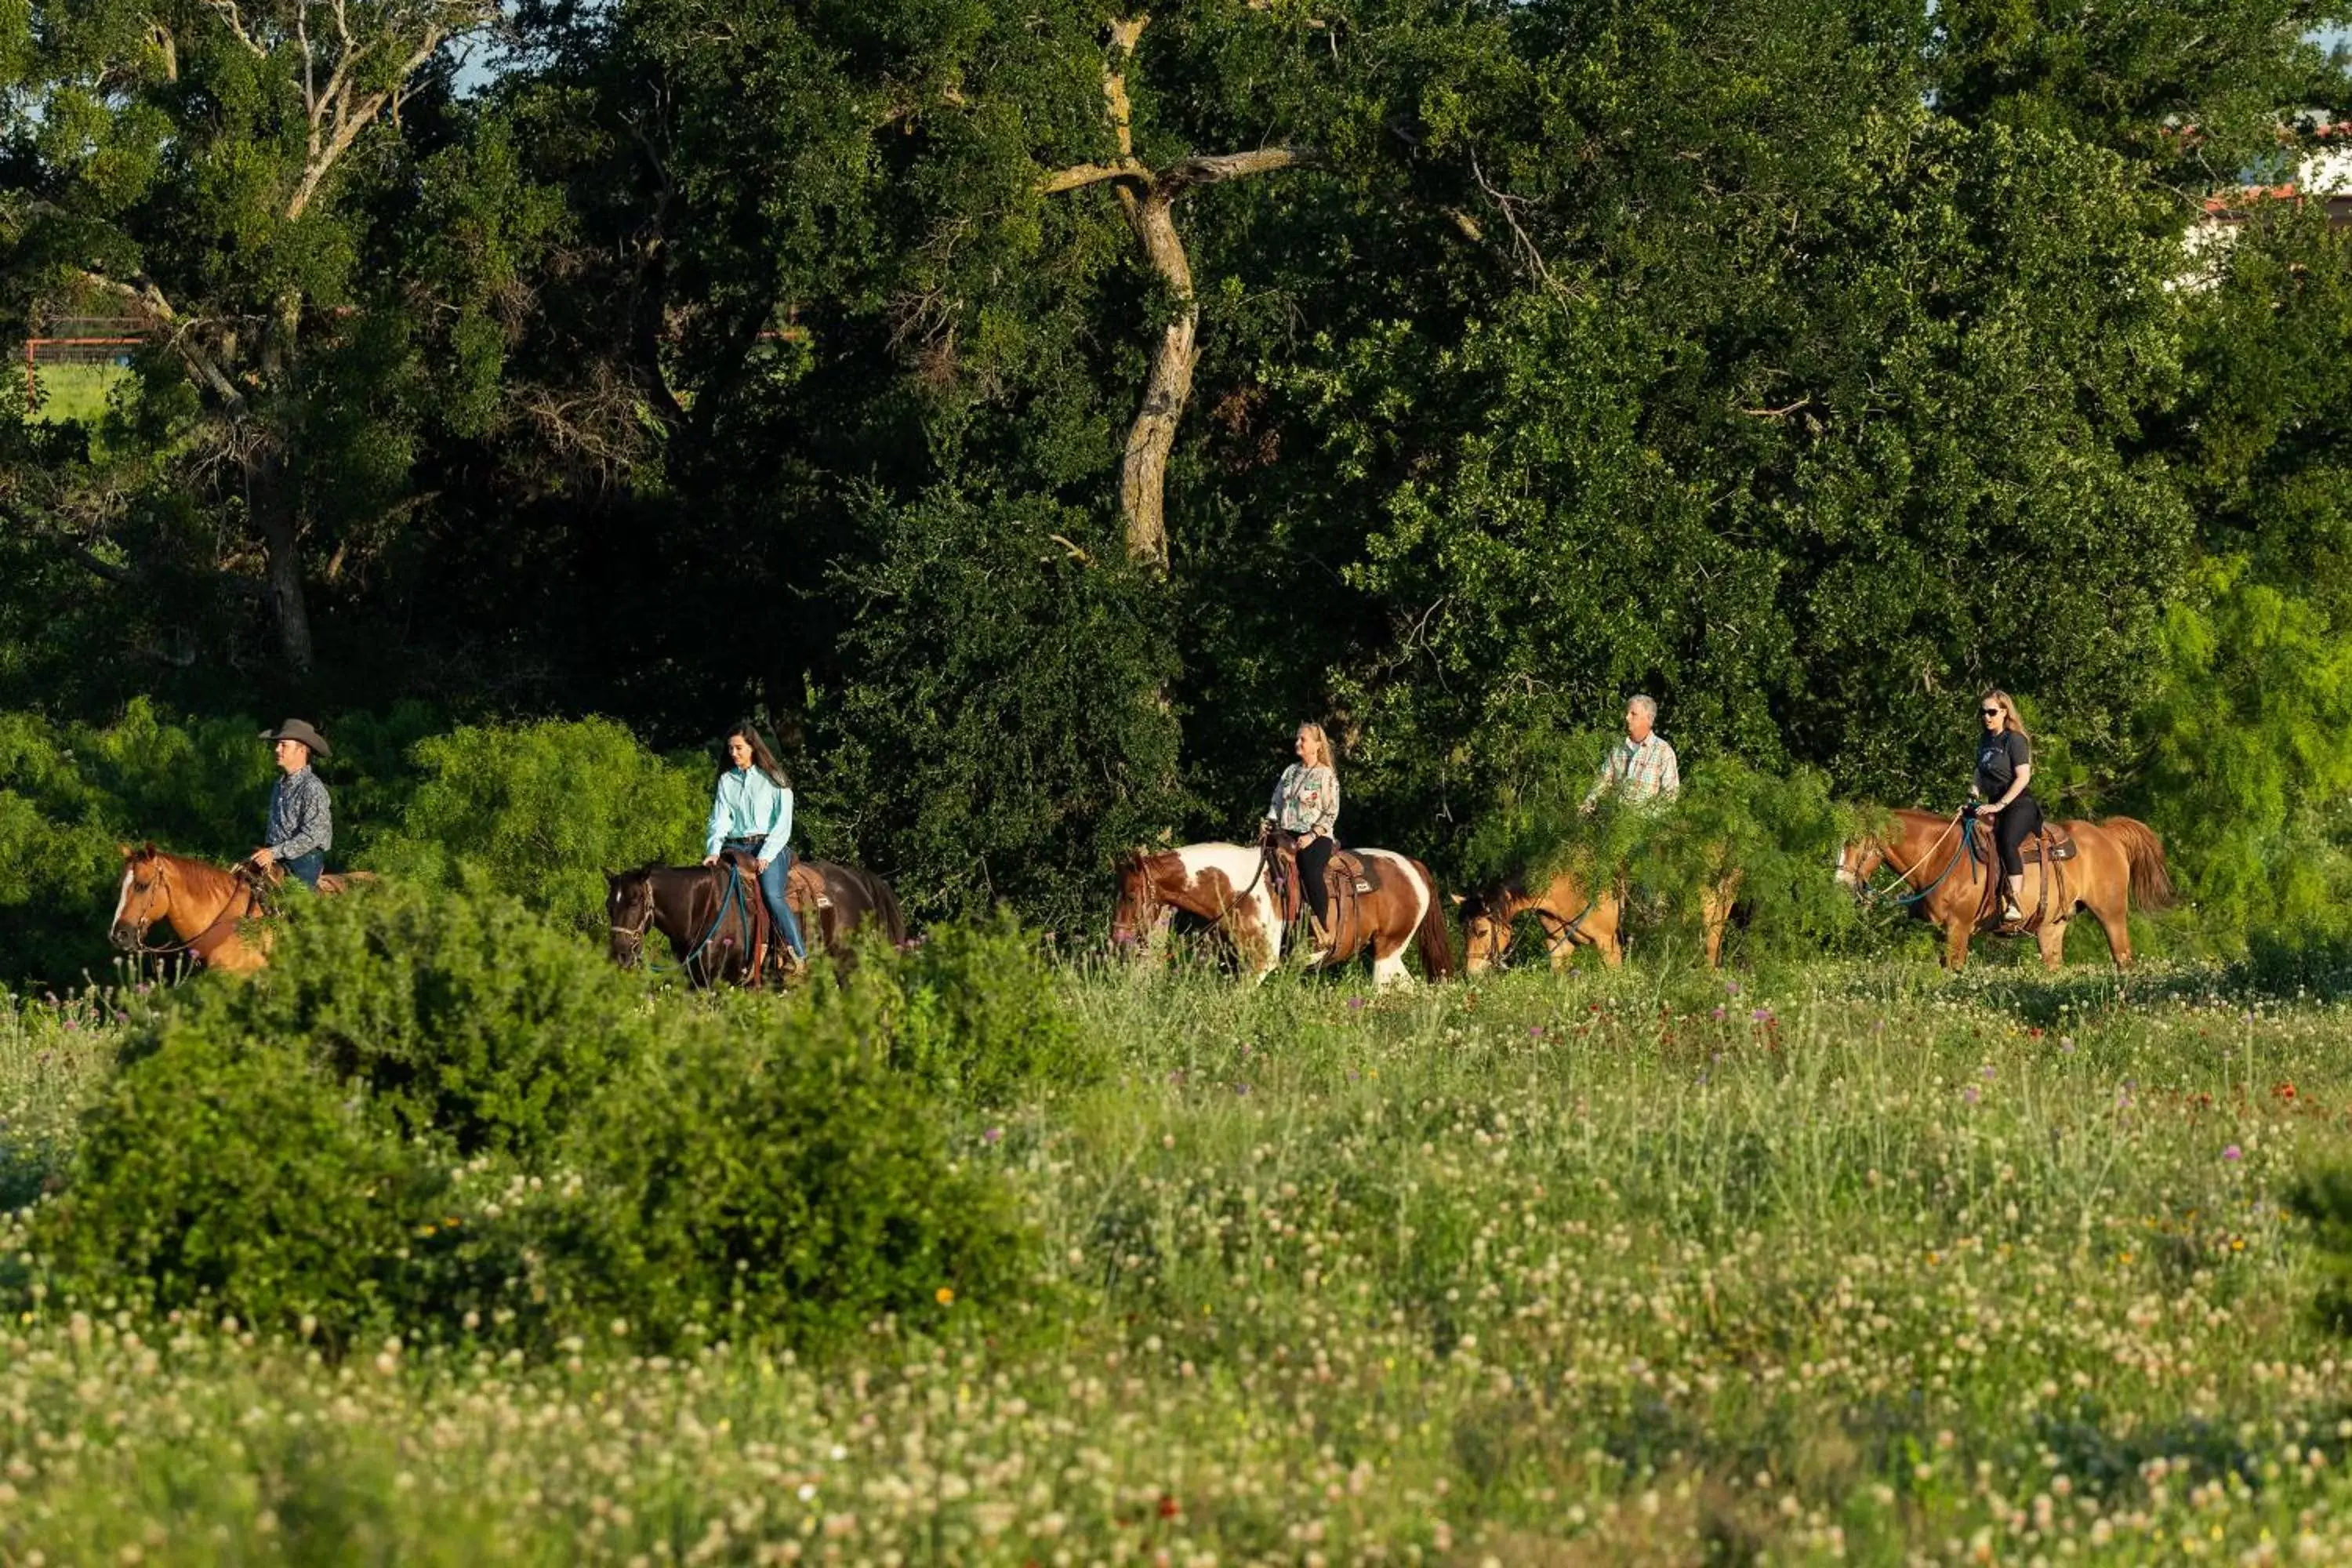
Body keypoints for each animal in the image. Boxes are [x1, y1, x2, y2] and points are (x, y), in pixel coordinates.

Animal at [1105, 841, 1449, 987]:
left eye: (1131, 895)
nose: (1117, 938)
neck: (1236, 890)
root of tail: (1412, 865)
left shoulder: (1260, 964)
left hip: (1388, 951)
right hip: (1383, 953)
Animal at [1825, 808, 2173, 968]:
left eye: (1855, 841)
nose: (1840, 885)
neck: (1940, 854)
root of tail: (2107, 835)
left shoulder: (1958, 928)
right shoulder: (1942, 932)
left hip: (2111, 915)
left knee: (2123, 958)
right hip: (2051, 928)